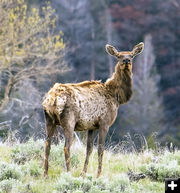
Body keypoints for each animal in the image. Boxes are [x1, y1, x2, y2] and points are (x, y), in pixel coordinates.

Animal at [41, 42, 143, 178]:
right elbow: (100, 149)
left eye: (131, 55)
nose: (126, 60)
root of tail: (52, 98)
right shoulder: (104, 122)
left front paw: (83, 173)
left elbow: (89, 149)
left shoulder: (91, 126)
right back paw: (68, 173)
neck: (116, 96)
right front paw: (98, 175)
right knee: (66, 147)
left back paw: (45, 174)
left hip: (49, 119)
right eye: (118, 56)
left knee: (47, 145)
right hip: (69, 120)